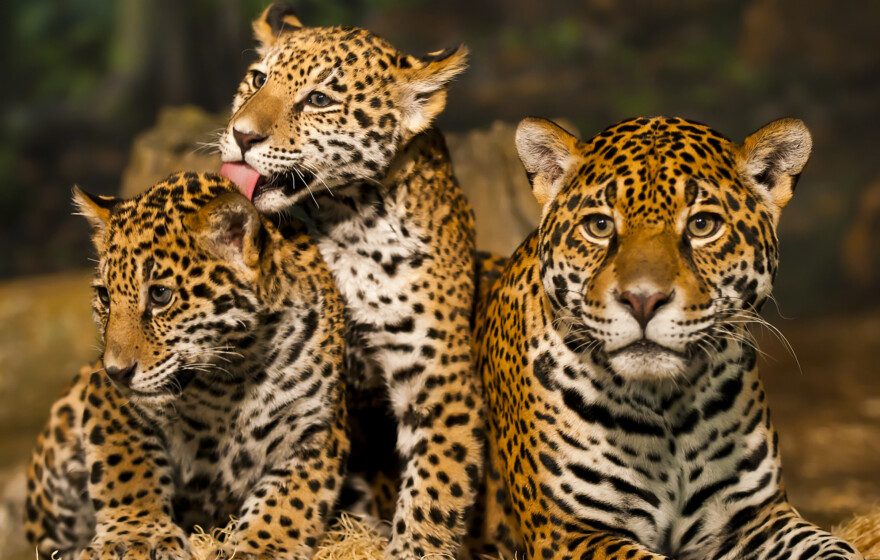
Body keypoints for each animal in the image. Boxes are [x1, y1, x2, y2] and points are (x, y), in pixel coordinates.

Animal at [25, 172, 349, 560]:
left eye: (160, 295)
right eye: (104, 296)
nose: (116, 372)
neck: (233, 376)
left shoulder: (317, 428)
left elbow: (290, 500)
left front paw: (261, 547)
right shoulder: (109, 401)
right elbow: (126, 468)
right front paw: (137, 536)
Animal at [217, 4, 483, 559]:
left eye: (319, 99)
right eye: (257, 79)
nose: (241, 135)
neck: (345, 219)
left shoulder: (442, 381)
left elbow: (434, 494)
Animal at [471, 115, 865, 560]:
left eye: (702, 225)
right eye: (599, 226)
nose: (643, 300)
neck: (667, 408)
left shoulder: (756, 516)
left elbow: (836, 549)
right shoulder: (569, 533)